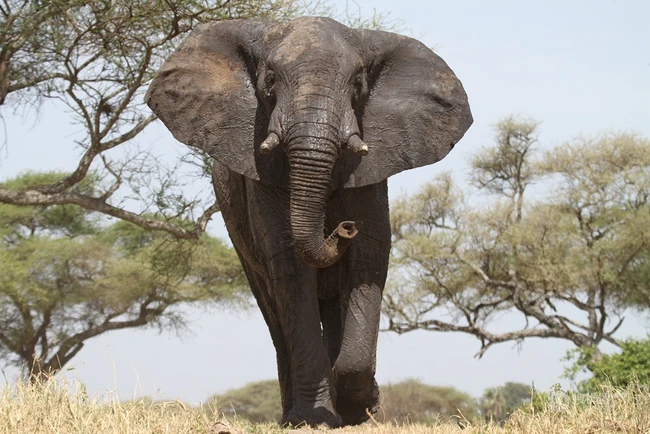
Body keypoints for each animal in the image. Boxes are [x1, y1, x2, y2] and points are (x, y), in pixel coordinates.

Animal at [146, 16, 472, 428]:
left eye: (358, 84)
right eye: (270, 80)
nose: (343, 228)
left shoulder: (372, 168)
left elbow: (369, 256)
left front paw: (359, 408)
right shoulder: (260, 172)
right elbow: (289, 264)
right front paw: (316, 418)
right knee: (273, 311)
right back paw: (295, 414)